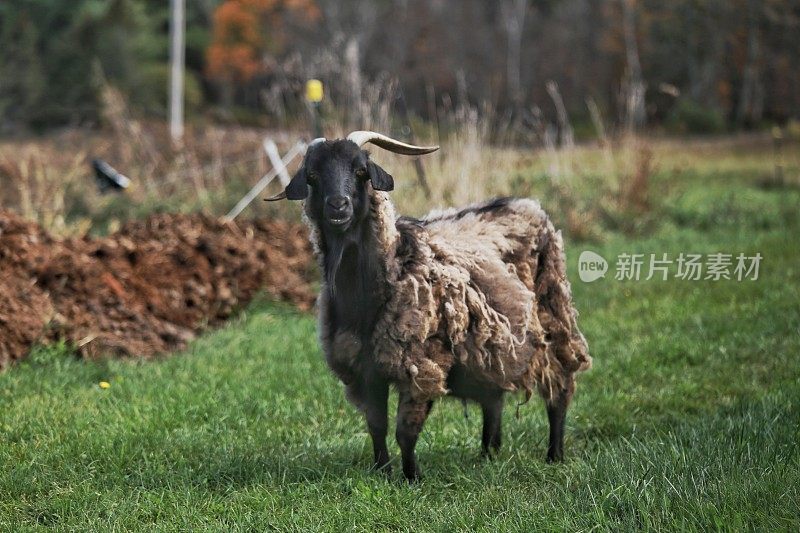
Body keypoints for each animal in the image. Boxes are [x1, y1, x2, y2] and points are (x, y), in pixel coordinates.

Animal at [266, 131, 592, 480]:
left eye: (361, 171)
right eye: (313, 176)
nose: (338, 205)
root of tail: (528, 204)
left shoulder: (421, 364)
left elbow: (405, 431)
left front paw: (412, 478)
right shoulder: (365, 370)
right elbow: (376, 427)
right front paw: (383, 472)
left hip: (554, 319)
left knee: (560, 389)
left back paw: (554, 454)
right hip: (491, 346)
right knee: (494, 398)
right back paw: (488, 454)